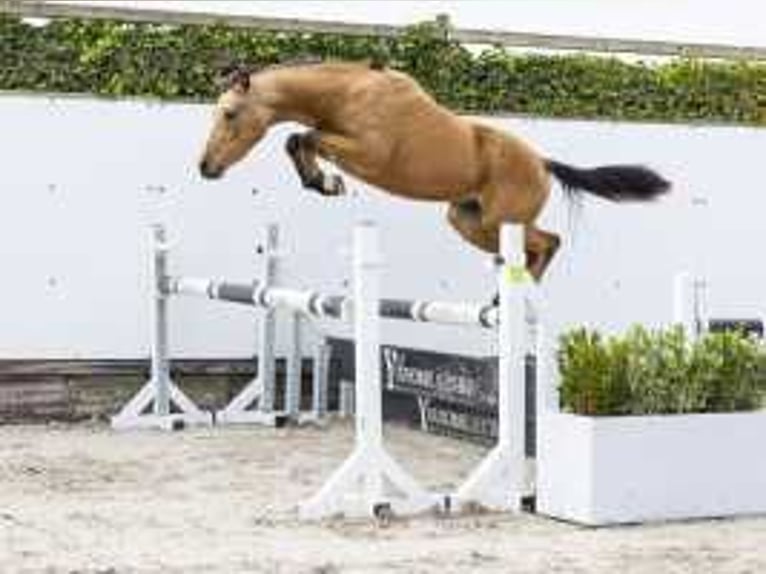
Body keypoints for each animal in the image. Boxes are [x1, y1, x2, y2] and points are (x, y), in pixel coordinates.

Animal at [200, 60, 672, 282]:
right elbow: (297, 140)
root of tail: (542, 163)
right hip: (469, 221)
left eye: (229, 114)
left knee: (548, 242)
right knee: (533, 247)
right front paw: (322, 182)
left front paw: (325, 182)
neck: (349, 93)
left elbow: (304, 138)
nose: (206, 167)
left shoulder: (368, 156)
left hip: (502, 221)